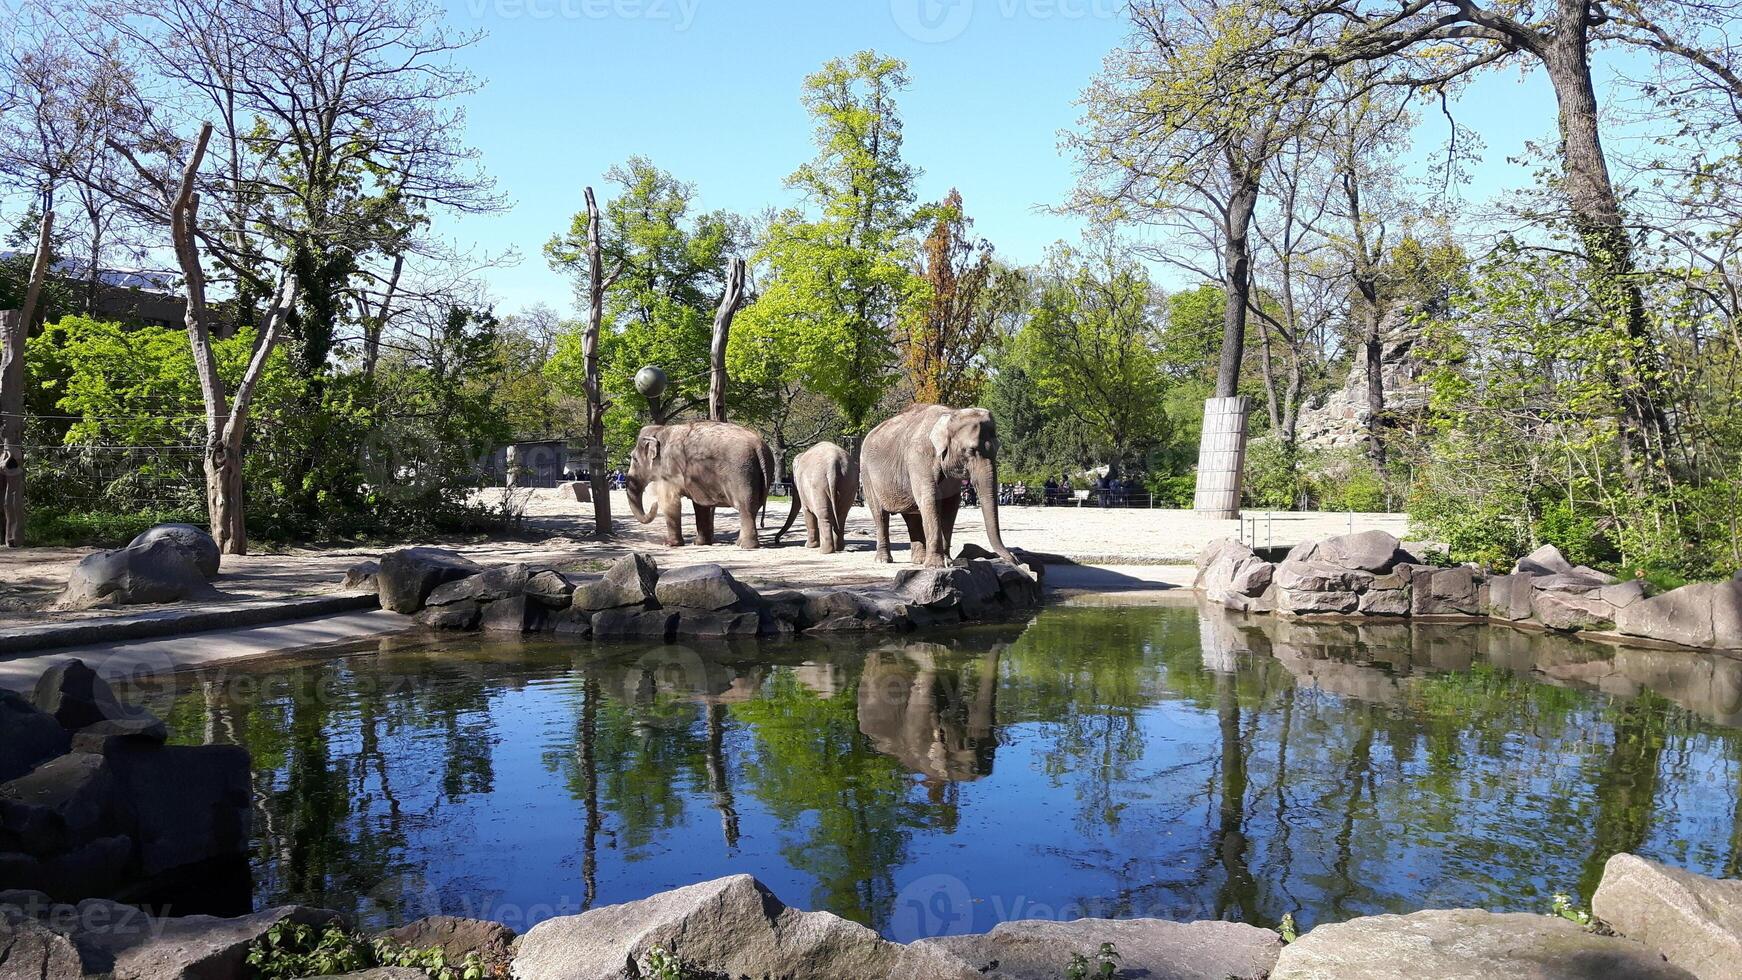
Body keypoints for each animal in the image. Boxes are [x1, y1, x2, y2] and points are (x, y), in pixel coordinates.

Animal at [623, 417, 794, 550]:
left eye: (634, 459)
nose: (653, 505)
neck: (662, 430)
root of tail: (758, 446)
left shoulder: (670, 470)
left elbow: (671, 503)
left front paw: (670, 544)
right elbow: (700, 506)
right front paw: (699, 543)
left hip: (742, 475)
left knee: (745, 507)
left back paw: (745, 546)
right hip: (761, 475)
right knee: (752, 509)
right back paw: (740, 543)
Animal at [860, 400, 1017, 567]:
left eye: (997, 448)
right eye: (970, 450)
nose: (1014, 559)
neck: (950, 414)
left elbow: (951, 504)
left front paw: (947, 561)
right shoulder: (919, 458)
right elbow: (930, 499)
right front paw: (935, 565)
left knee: (912, 516)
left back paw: (918, 561)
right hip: (866, 474)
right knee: (880, 514)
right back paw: (884, 560)